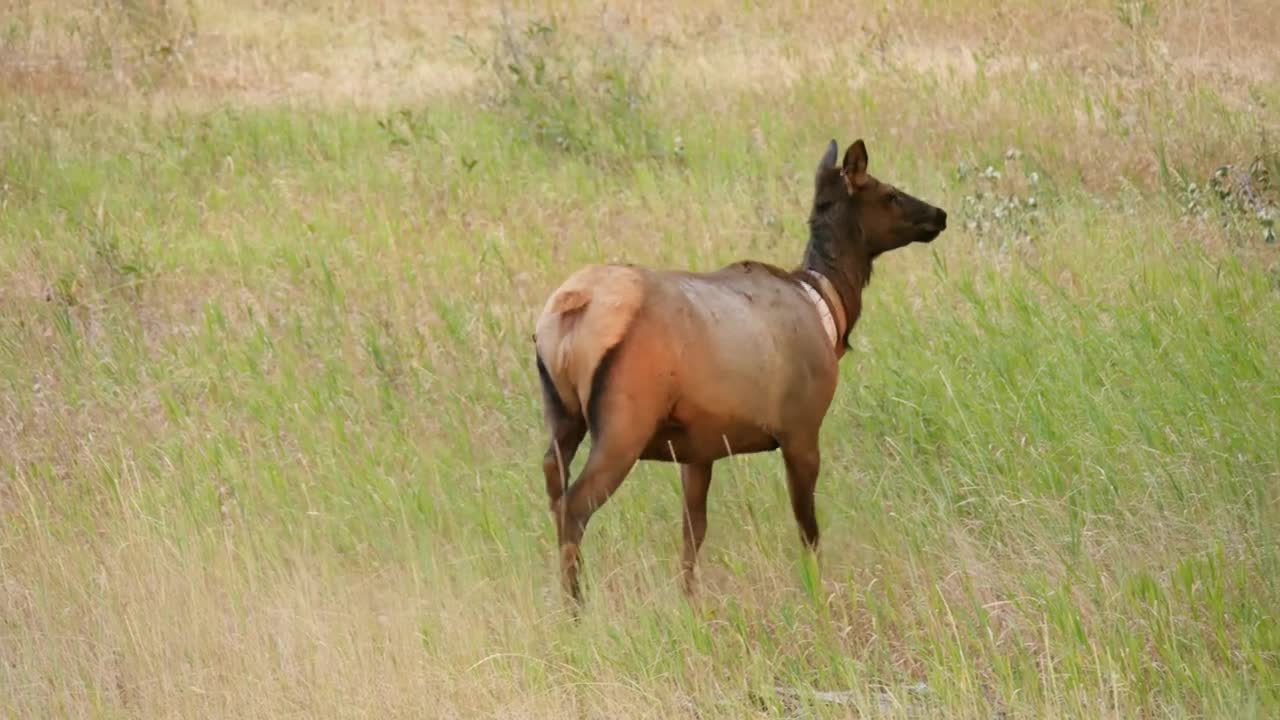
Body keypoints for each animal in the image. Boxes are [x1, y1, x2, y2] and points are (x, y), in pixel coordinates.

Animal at [532, 135, 952, 599]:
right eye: (890, 193)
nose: (939, 214)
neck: (830, 308)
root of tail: (571, 309)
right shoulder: (801, 429)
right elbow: (808, 531)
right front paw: (817, 594)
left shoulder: (697, 449)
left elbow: (692, 535)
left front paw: (690, 602)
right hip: (624, 424)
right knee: (575, 507)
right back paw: (577, 605)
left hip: (563, 415)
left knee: (553, 483)